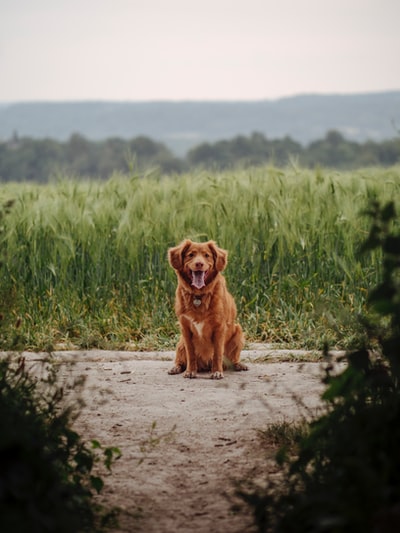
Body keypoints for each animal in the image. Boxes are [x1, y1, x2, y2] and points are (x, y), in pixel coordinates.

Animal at [166, 237, 247, 378]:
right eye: (191, 255)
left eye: (207, 255)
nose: (199, 264)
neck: (198, 295)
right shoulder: (185, 328)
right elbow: (191, 354)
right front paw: (190, 371)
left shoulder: (219, 327)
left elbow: (217, 353)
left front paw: (217, 372)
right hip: (180, 342)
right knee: (180, 360)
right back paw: (176, 368)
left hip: (238, 332)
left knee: (233, 359)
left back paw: (238, 365)